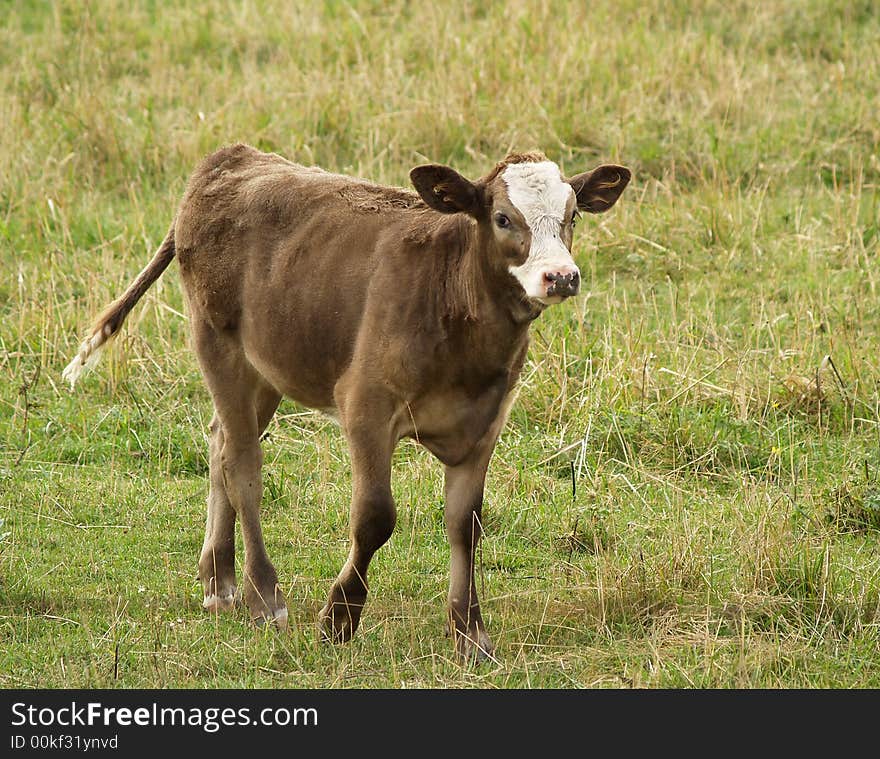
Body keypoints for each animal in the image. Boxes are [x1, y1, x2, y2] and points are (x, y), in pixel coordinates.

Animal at [67, 145, 632, 664]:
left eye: (573, 215)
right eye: (502, 218)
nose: (561, 276)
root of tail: (233, 157)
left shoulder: (486, 421)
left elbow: (466, 523)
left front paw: (470, 635)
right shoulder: (365, 405)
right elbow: (375, 517)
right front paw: (340, 618)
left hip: (267, 366)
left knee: (219, 443)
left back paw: (219, 581)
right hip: (216, 343)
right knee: (242, 465)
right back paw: (263, 595)